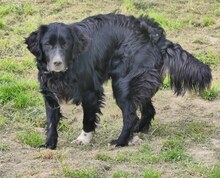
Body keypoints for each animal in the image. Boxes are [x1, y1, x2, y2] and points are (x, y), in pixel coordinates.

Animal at [24, 13, 211, 149]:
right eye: (47, 45)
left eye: (65, 44)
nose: (57, 63)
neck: (62, 73)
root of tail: (152, 34)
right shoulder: (49, 95)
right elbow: (51, 122)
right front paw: (49, 144)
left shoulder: (90, 92)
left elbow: (87, 119)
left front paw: (84, 139)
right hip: (138, 82)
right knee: (147, 110)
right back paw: (136, 132)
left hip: (123, 84)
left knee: (130, 115)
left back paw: (121, 141)